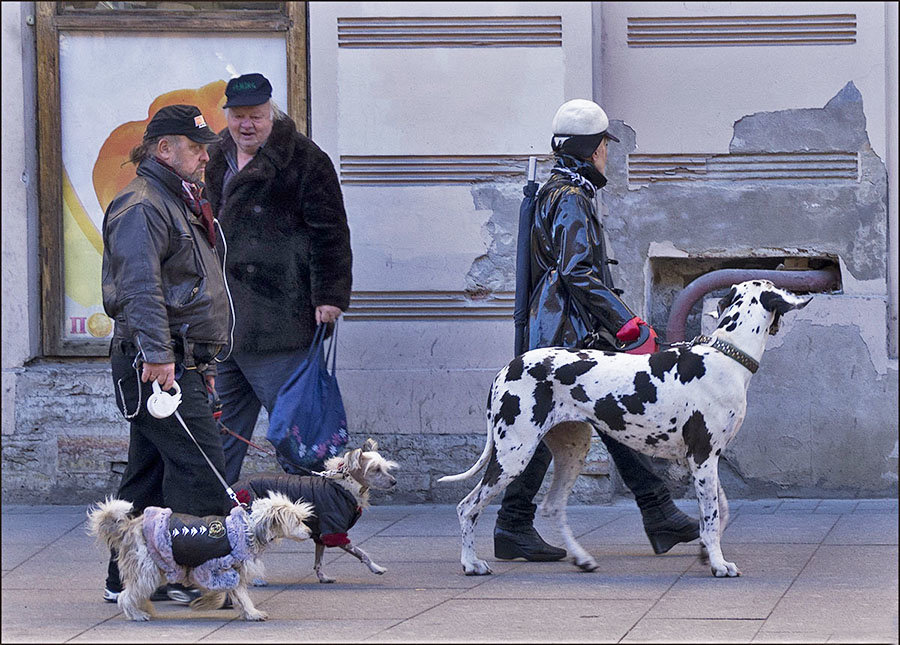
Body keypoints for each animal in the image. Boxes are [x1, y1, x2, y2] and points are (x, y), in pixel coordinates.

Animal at [87, 490, 312, 620]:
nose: (310, 532)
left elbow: (237, 594)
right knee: (125, 596)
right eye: (297, 520)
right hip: (147, 570)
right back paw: (136, 614)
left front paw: (247, 612)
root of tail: (129, 527)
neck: (249, 527)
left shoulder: (228, 572)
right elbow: (232, 593)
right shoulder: (213, 568)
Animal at [440, 280, 812, 576]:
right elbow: (710, 517)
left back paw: (581, 559)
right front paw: (719, 564)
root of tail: (506, 368)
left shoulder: (706, 460)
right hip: (513, 454)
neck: (724, 356)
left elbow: (720, 513)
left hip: (571, 451)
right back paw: (471, 563)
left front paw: (708, 553)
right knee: (467, 507)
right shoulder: (703, 457)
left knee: (553, 505)